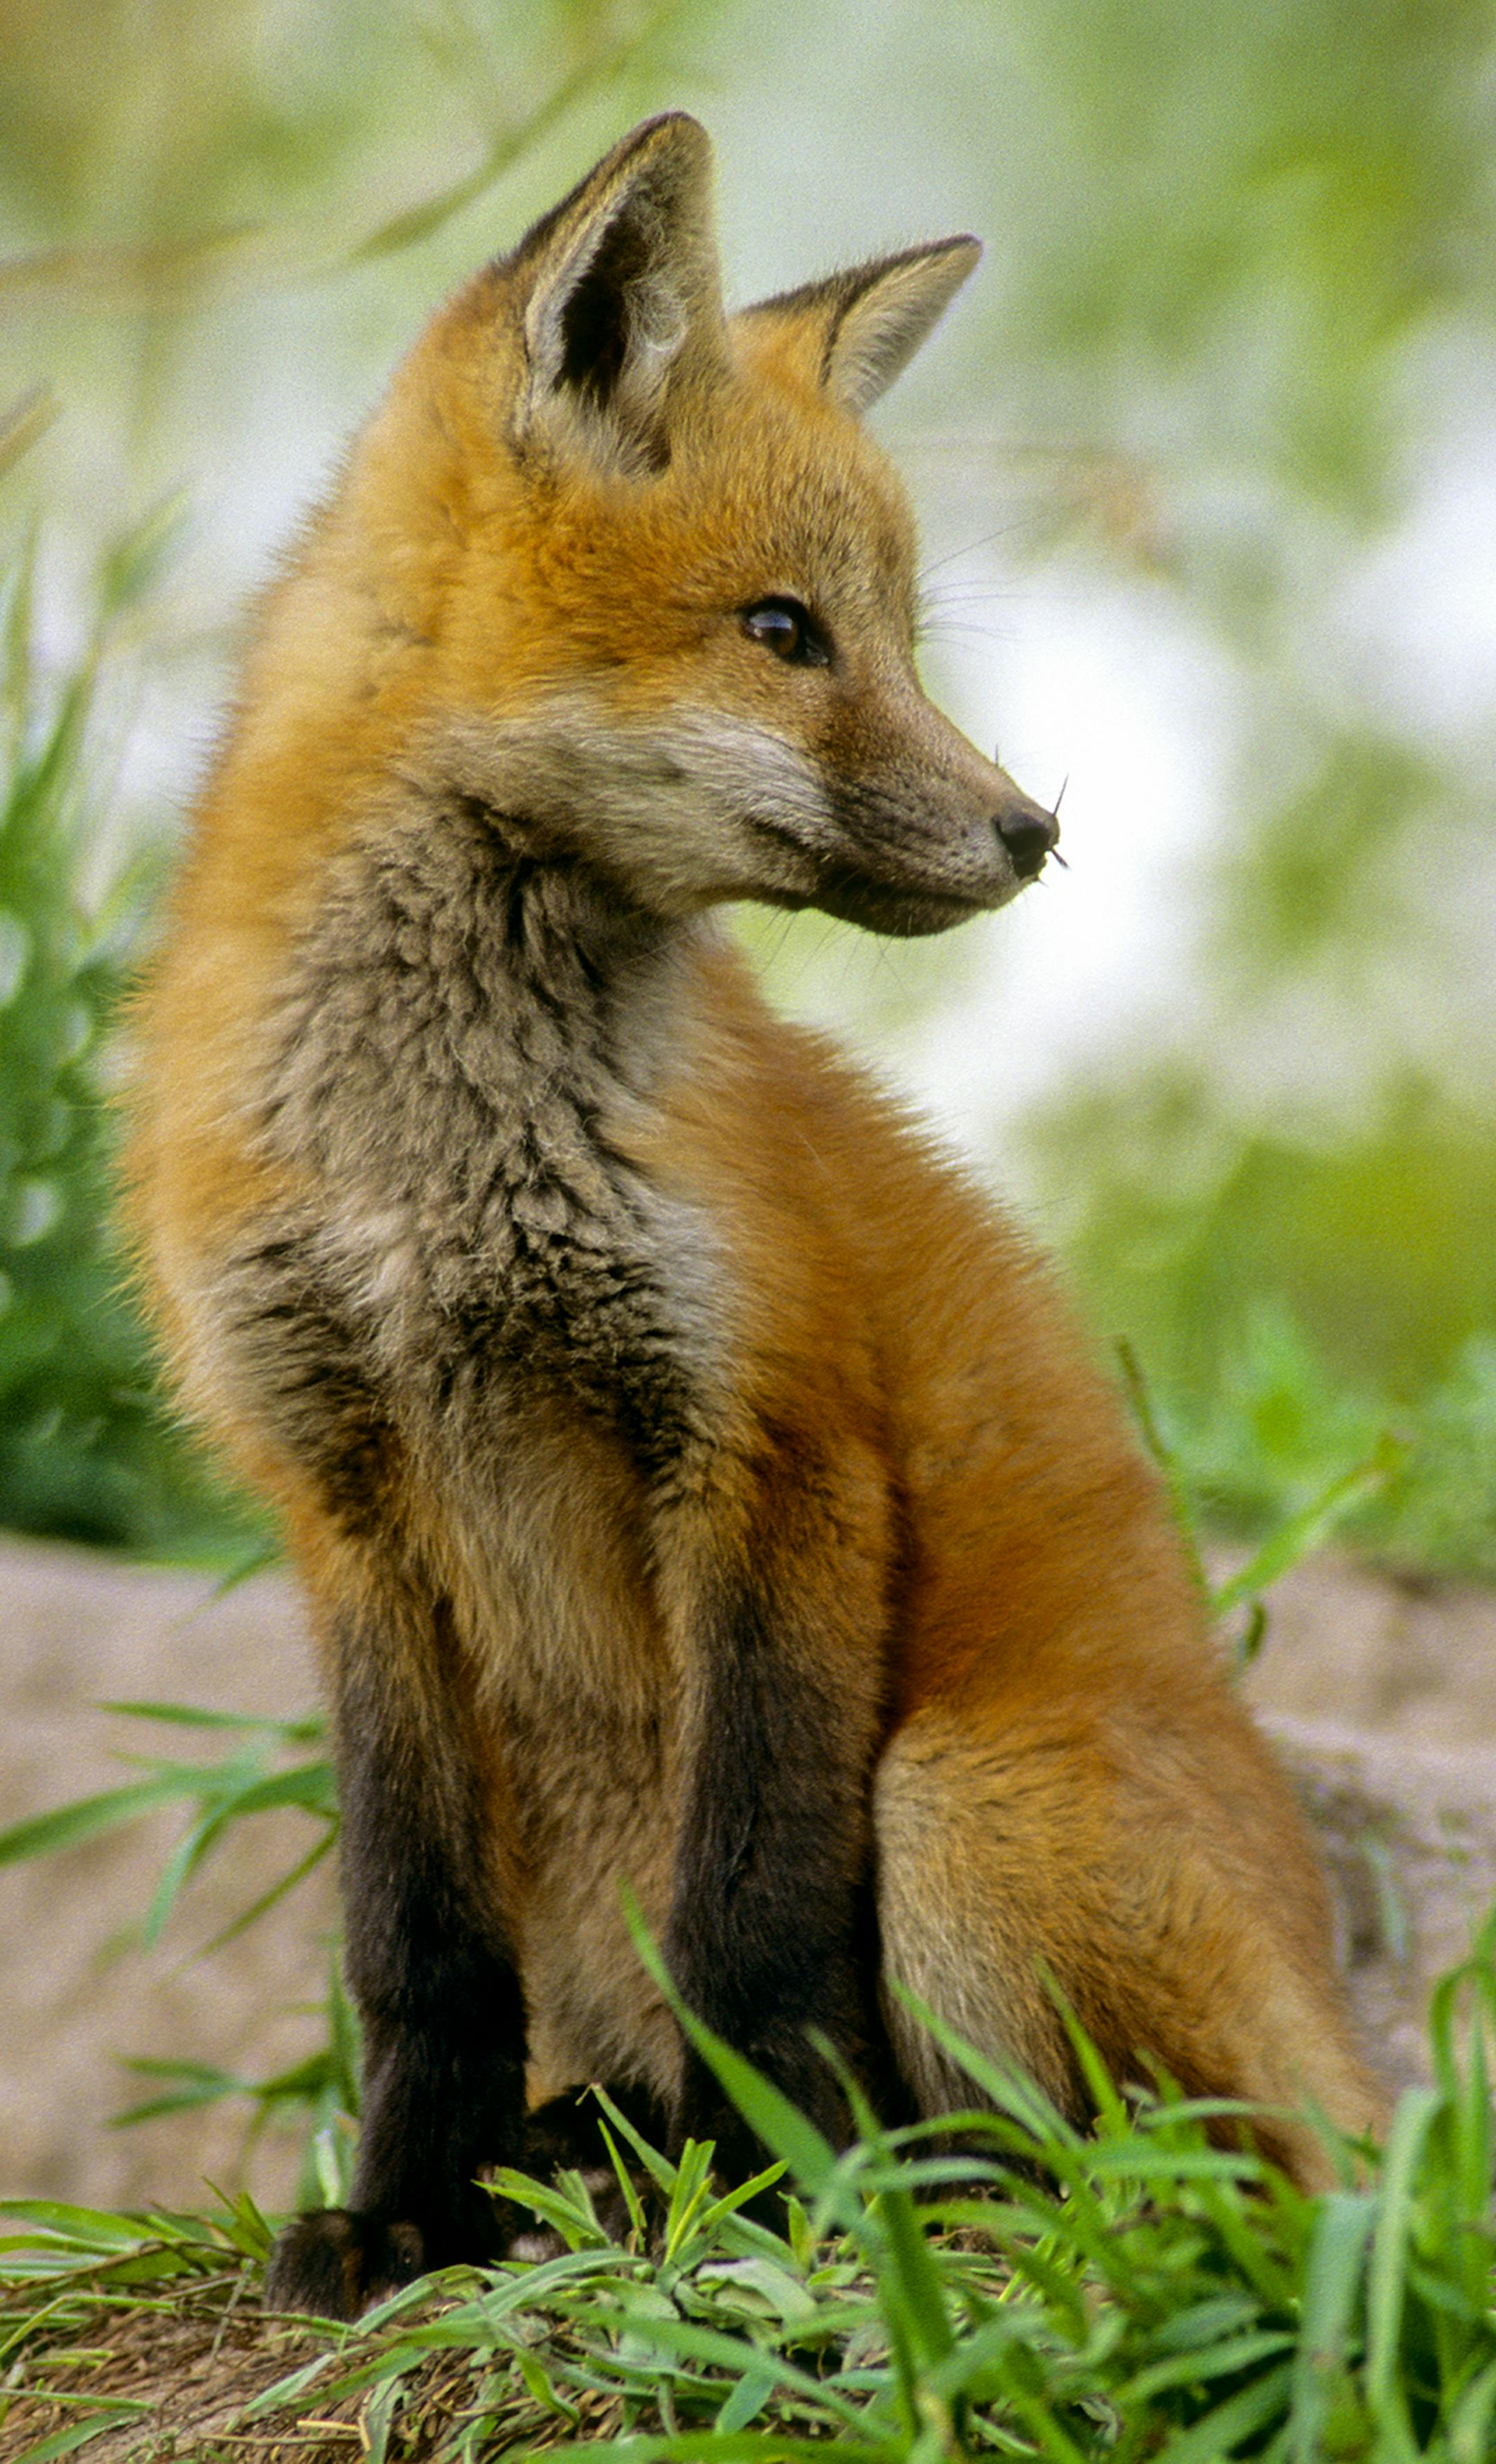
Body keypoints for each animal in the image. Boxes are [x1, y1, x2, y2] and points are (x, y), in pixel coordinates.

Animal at [126, 113, 1383, 2319]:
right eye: (784, 630)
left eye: (899, 632)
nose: (1034, 831)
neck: (430, 1154)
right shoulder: (338, 1490)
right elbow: (411, 1944)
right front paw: (408, 2206)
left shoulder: (774, 1432)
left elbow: (749, 1912)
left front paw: (776, 2190)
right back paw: (586, 2141)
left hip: (962, 1803)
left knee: (1157, 2174)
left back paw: (862, 2178)